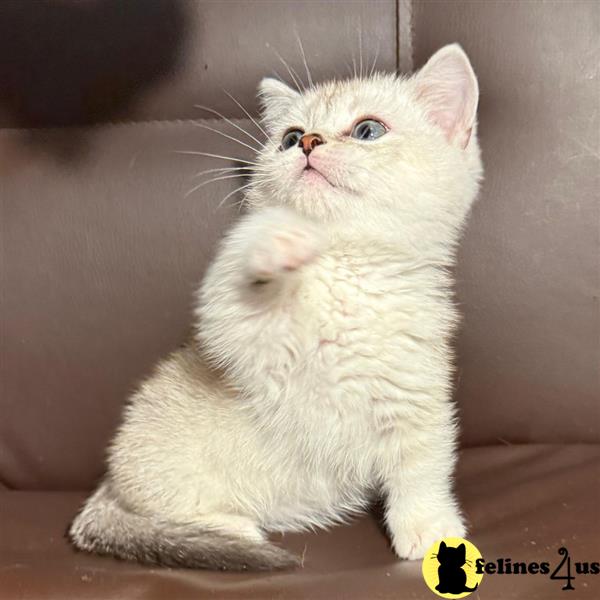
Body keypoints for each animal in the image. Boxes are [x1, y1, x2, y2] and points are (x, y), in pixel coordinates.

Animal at [69, 44, 482, 568]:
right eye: (287, 137)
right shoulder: (242, 342)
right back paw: (233, 527)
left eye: (368, 130)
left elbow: (422, 466)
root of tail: (108, 480)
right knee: (152, 512)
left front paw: (430, 528)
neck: (345, 272)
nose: (307, 141)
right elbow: (231, 297)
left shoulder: (416, 392)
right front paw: (273, 239)